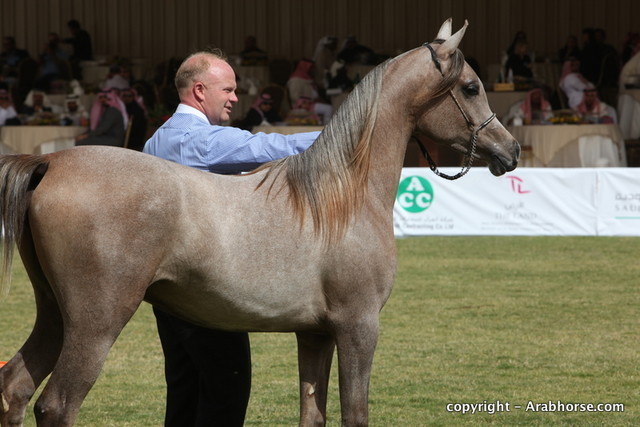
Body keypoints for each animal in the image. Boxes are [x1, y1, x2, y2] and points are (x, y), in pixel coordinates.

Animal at [0, 19, 518, 426]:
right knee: (56, 405)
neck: (342, 195)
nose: (510, 150)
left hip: (54, 313)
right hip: (96, 322)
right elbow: (355, 413)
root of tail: (51, 162)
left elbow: (313, 413)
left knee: (15, 389)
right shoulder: (358, 328)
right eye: (471, 87)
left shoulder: (315, 335)